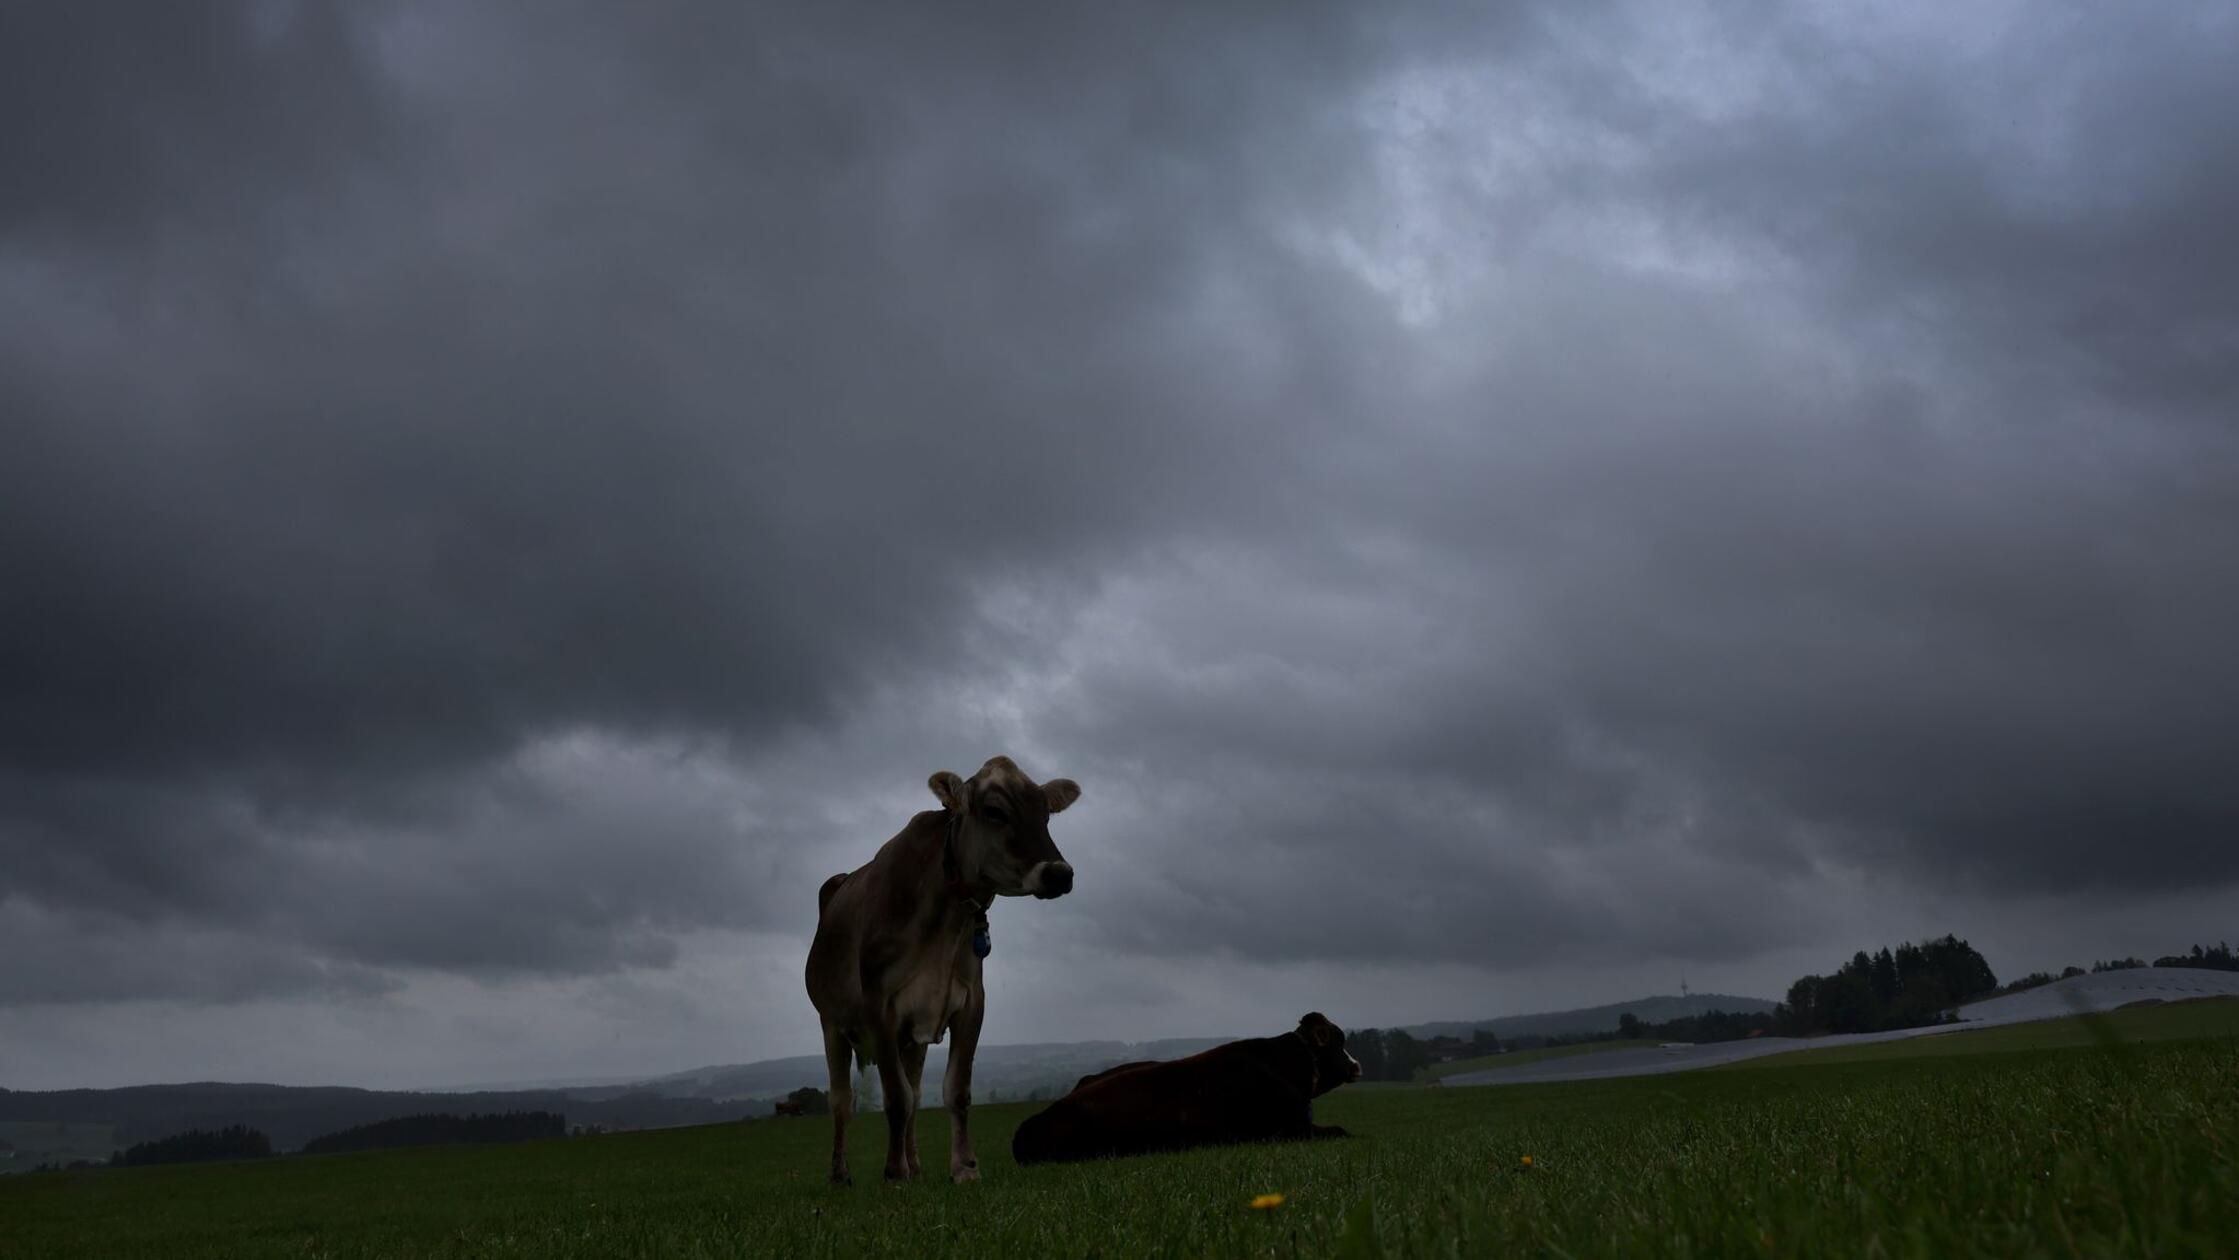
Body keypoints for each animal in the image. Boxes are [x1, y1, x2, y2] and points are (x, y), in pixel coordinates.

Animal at [805, 756, 1081, 1184]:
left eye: (1046, 814)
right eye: (994, 811)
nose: (1058, 873)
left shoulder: (970, 1003)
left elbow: (954, 1092)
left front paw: (964, 1167)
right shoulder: (877, 1007)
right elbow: (895, 1097)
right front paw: (894, 1172)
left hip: (910, 1039)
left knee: (916, 1093)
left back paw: (915, 1165)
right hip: (831, 1023)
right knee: (842, 1100)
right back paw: (841, 1174)